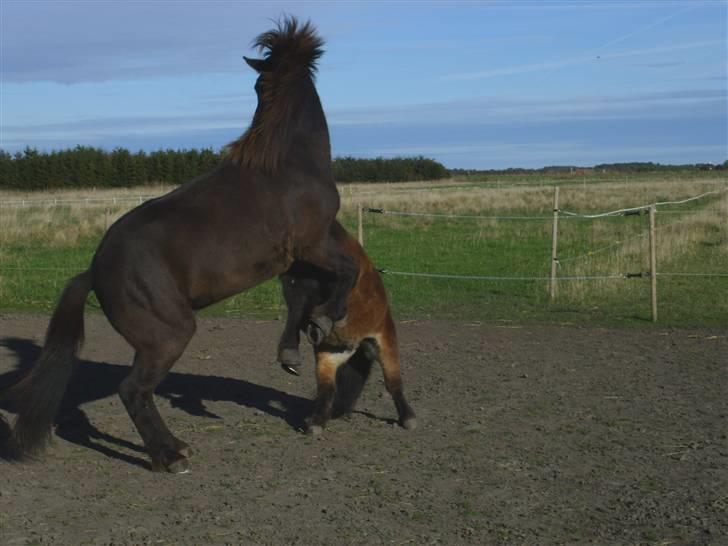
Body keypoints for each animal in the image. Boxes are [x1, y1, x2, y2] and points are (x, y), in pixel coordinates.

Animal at [3, 14, 358, 470]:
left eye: (259, 85)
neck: (290, 164)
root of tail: (94, 269)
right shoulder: (312, 245)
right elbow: (345, 273)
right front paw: (326, 320)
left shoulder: (295, 261)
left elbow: (301, 298)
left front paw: (294, 349)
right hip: (169, 334)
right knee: (133, 390)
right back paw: (170, 455)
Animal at [278, 221, 416, 434]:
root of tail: (356, 345)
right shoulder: (296, 283)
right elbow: (297, 307)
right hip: (328, 356)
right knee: (327, 389)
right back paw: (317, 421)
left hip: (385, 343)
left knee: (393, 384)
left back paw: (408, 418)